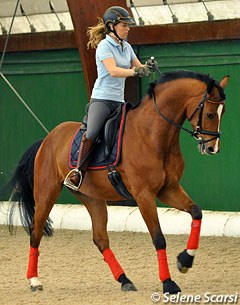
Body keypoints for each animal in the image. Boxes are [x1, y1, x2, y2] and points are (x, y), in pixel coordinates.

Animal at [1, 69, 229, 292]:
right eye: (209, 114)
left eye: (223, 112)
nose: (212, 148)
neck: (153, 135)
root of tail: (47, 139)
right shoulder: (144, 195)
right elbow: (158, 238)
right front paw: (168, 283)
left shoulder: (168, 189)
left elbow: (196, 212)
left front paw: (185, 260)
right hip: (46, 193)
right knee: (36, 231)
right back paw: (34, 281)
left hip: (91, 198)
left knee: (100, 238)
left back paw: (124, 279)